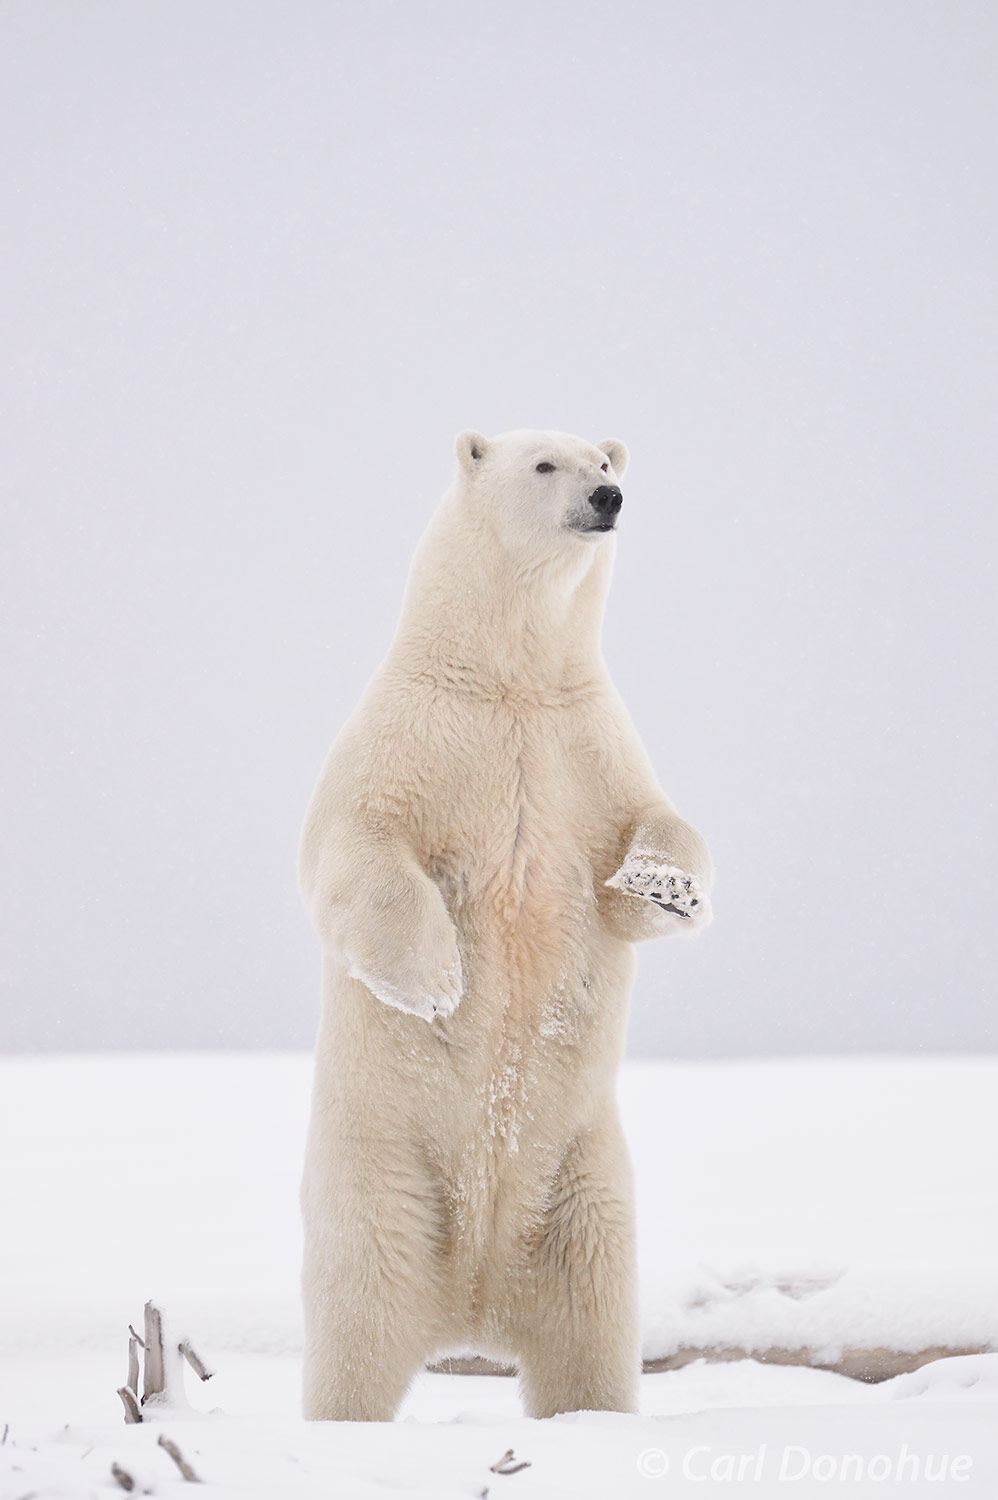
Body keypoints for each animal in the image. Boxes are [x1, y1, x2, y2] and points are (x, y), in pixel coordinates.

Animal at [300, 432, 711, 1416]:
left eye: (605, 458)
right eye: (544, 465)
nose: (608, 496)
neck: (508, 679)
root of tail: (472, 1306)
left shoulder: (587, 743)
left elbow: (650, 831)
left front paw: (668, 888)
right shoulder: (413, 737)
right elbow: (357, 848)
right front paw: (439, 982)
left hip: (583, 1192)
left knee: (590, 1334)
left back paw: (591, 1414)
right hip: (379, 1183)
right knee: (358, 1327)